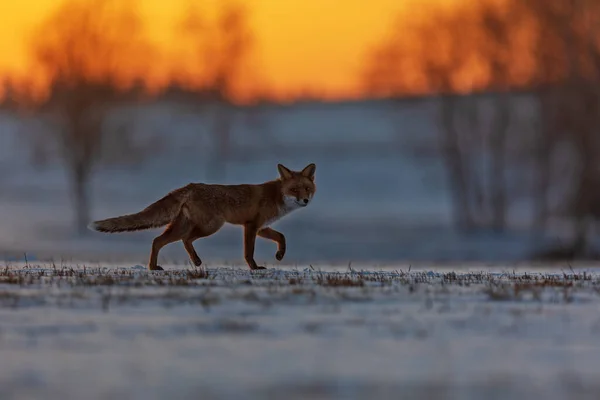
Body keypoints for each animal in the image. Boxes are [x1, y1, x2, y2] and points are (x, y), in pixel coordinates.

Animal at [91, 163, 316, 272]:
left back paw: (156, 267)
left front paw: (280, 255)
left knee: (159, 240)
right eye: (294, 189)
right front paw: (255, 268)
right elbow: (248, 252)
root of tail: (190, 186)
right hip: (212, 225)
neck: (276, 196)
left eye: (307, 188)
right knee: (183, 239)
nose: (305, 200)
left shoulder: (261, 227)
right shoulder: (251, 226)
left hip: (189, 225)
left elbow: (282, 237)